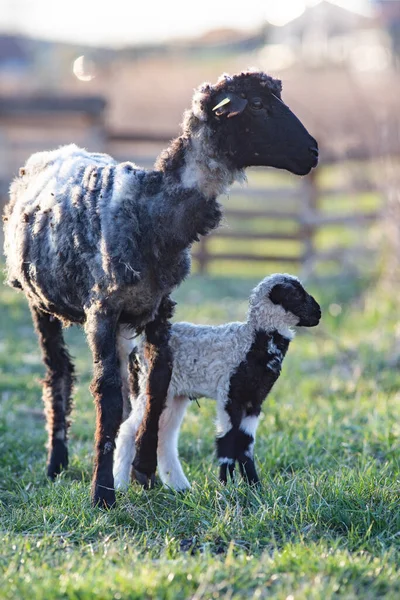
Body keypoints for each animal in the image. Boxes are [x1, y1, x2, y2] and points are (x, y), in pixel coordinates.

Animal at [113, 274, 322, 490]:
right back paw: (120, 485)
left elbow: (246, 443)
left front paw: (254, 486)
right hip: (147, 388)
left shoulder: (255, 400)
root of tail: (137, 351)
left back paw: (179, 486)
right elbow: (227, 440)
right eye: (295, 295)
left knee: (165, 435)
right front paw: (226, 486)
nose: (319, 313)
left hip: (174, 396)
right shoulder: (229, 394)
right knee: (128, 430)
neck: (254, 341)